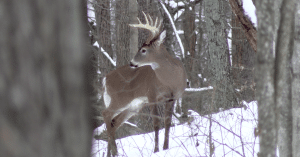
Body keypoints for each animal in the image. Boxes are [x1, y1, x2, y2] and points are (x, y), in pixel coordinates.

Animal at [102, 12, 188, 157]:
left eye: (143, 50)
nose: (131, 63)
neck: (170, 80)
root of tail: (105, 79)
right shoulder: (152, 95)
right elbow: (156, 123)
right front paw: (156, 150)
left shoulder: (172, 98)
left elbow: (167, 123)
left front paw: (166, 147)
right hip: (119, 99)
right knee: (106, 114)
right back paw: (115, 152)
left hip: (133, 105)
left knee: (114, 122)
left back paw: (112, 153)